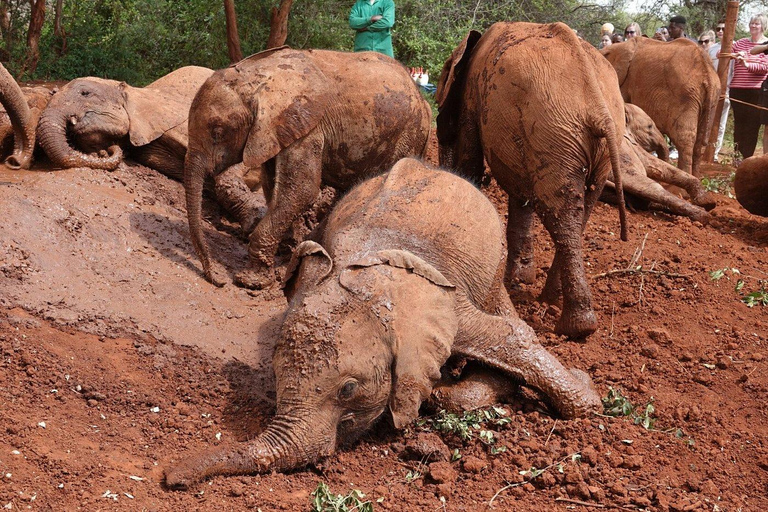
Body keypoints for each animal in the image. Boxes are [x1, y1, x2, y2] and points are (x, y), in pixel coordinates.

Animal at [165, 157, 604, 488]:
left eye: (348, 389)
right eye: (274, 375)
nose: (172, 478)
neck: (368, 291)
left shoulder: (448, 300)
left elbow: (509, 336)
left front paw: (589, 399)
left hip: (493, 263)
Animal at [183, 46, 428, 290]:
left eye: (217, 132)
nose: (218, 280)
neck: (257, 77)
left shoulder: (308, 128)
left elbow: (302, 191)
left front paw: (250, 282)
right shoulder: (276, 130)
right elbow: (273, 186)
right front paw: (287, 248)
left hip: (408, 137)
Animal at [436, 21, 628, 340]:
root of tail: (599, 109)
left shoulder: (473, 97)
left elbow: (471, 163)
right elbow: (519, 192)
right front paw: (519, 280)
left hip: (552, 135)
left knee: (560, 214)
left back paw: (573, 326)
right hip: (575, 143)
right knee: (579, 212)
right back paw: (554, 303)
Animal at [604, 36, 724, 176]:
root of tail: (708, 73)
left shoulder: (626, 80)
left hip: (686, 96)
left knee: (684, 140)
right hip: (712, 98)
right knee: (699, 142)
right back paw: (695, 176)